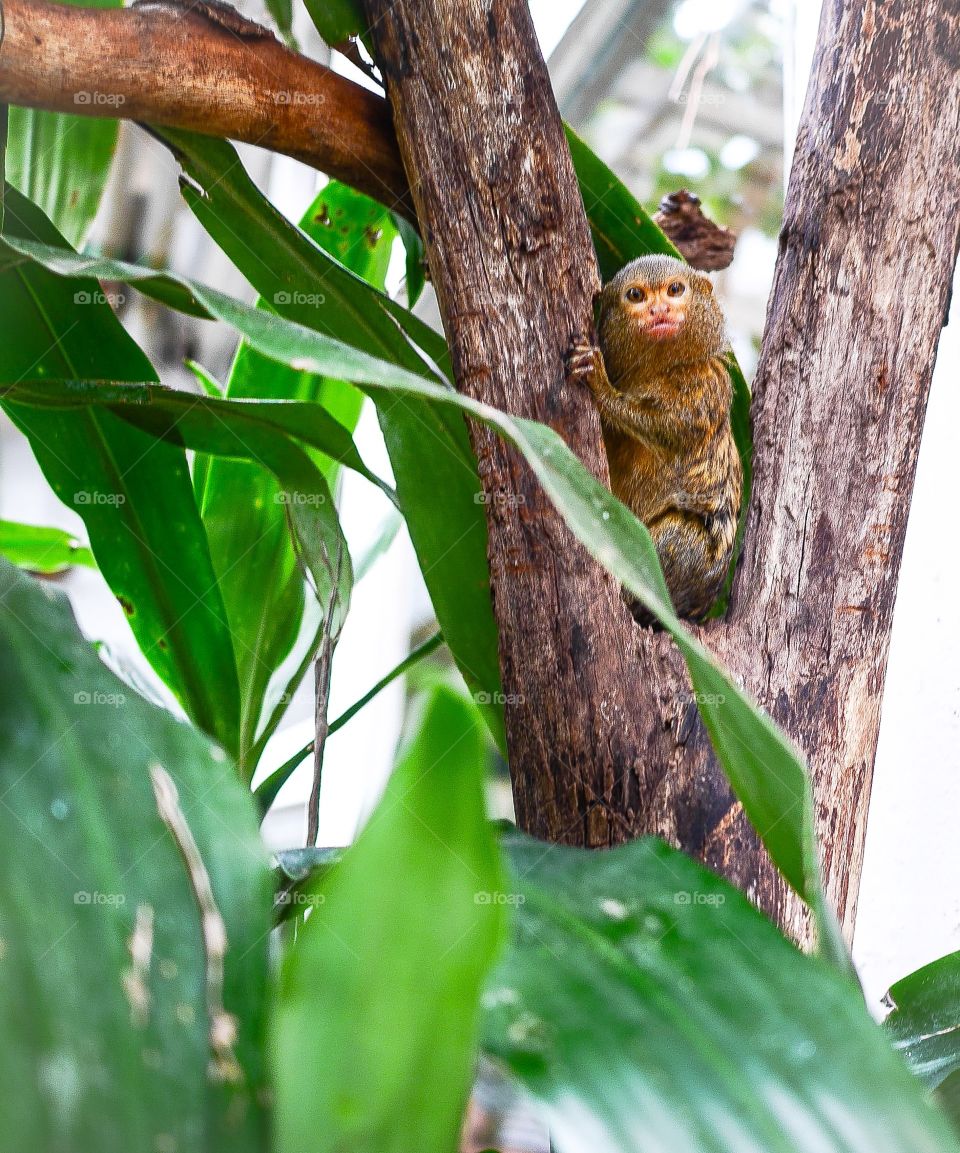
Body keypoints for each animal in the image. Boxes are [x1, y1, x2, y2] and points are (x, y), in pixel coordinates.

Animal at [566, 254, 742, 622]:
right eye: (636, 295)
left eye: (675, 290)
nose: (659, 310)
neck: (659, 370)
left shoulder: (710, 387)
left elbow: (669, 431)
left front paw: (601, 386)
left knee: (683, 533)